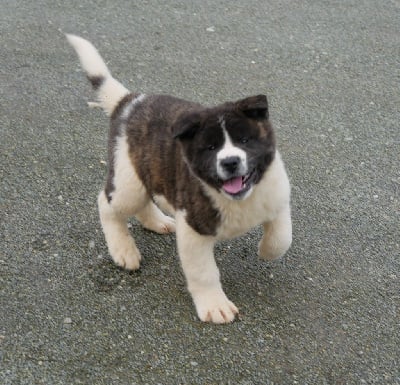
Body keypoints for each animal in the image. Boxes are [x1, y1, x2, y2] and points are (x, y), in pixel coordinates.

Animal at [65, 34, 290, 322]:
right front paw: (215, 306)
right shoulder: (194, 229)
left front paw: (265, 251)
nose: (229, 162)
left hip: (146, 173)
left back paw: (157, 222)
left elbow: (282, 238)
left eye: (244, 140)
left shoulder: (276, 196)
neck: (237, 199)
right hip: (128, 181)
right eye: (210, 148)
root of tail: (129, 102)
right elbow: (204, 272)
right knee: (107, 204)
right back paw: (123, 250)